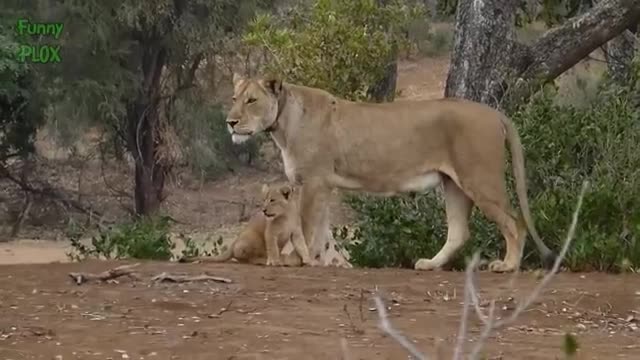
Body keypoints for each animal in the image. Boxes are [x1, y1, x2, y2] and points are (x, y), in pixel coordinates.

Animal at [225, 74, 556, 272]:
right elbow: (323, 232)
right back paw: (430, 264)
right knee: (460, 231)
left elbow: (305, 228)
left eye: (252, 100)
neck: (283, 122)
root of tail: (495, 112)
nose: (230, 122)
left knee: (515, 222)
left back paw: (507, 265)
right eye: (234, 98)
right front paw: (326, 262)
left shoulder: (314, 182)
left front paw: (297, 260)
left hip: (480, 179)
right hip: (453, 184)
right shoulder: (324, 185)